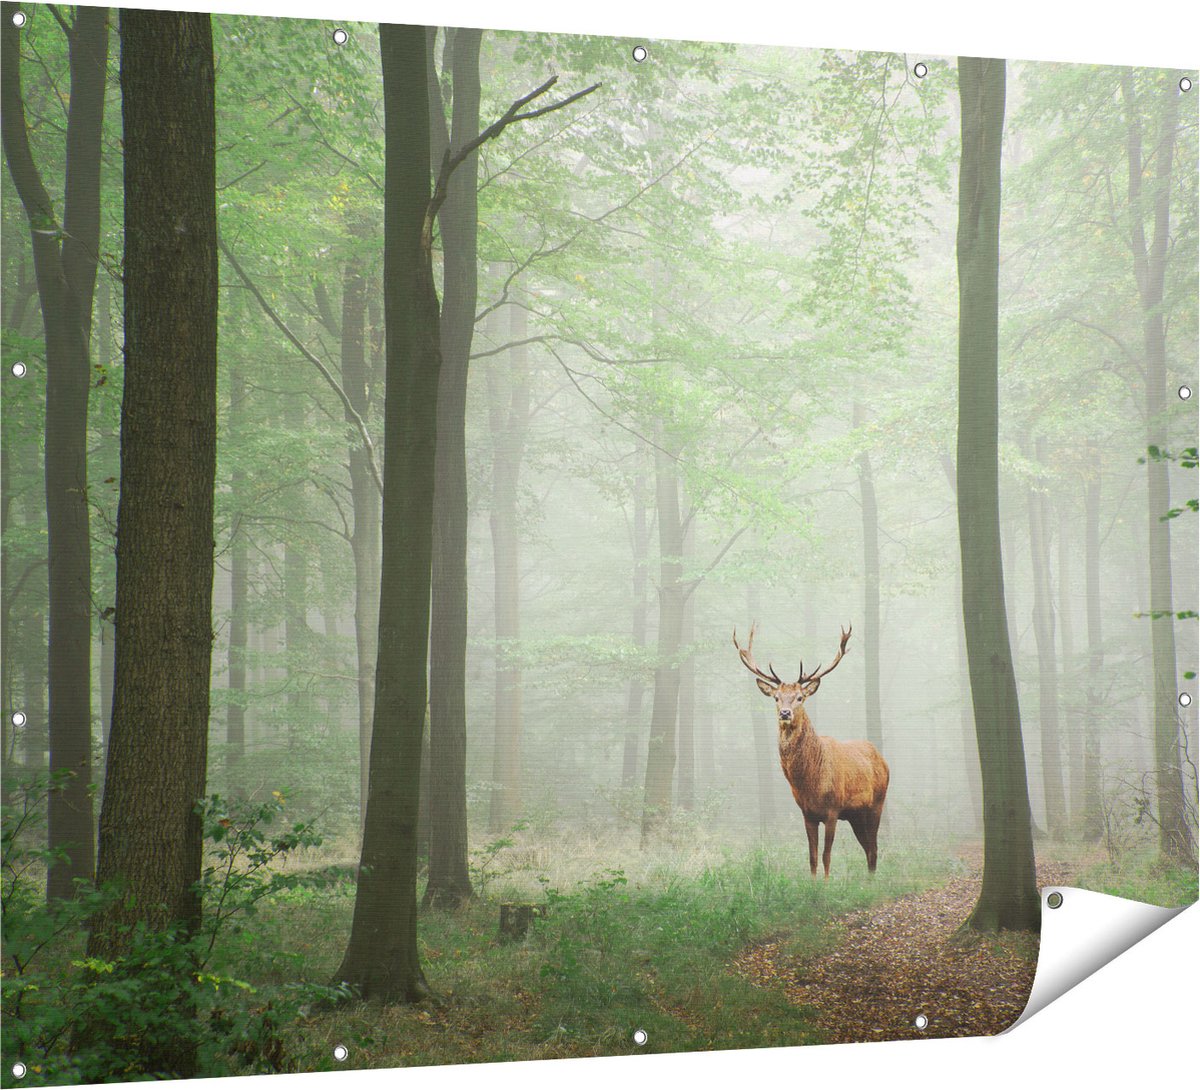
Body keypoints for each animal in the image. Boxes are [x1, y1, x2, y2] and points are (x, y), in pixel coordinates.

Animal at [734, 623, 889, 878]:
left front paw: (826, 884)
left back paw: (873, 881)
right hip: (856, 815)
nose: (785, 713)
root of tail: (883, 760)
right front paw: (813, 883)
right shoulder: (807, 814)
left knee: (874, 849)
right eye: (776, 698)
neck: (811, 783)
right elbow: (812, 857)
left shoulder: (833, 810)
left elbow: (826, 856)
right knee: (868, 848)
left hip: (877, 803)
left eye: (800, 697)